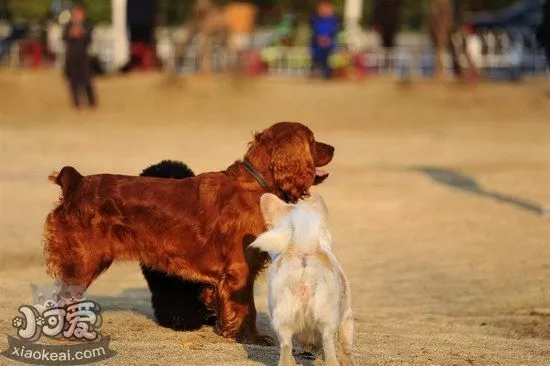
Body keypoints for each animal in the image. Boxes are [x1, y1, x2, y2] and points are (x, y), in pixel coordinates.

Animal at [251, 193, 356, 364]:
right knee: (329, 347)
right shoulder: (347, 316)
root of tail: (302, 249)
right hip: (328, 321)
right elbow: (345, 347)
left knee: (286, 347)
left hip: (282, 321)